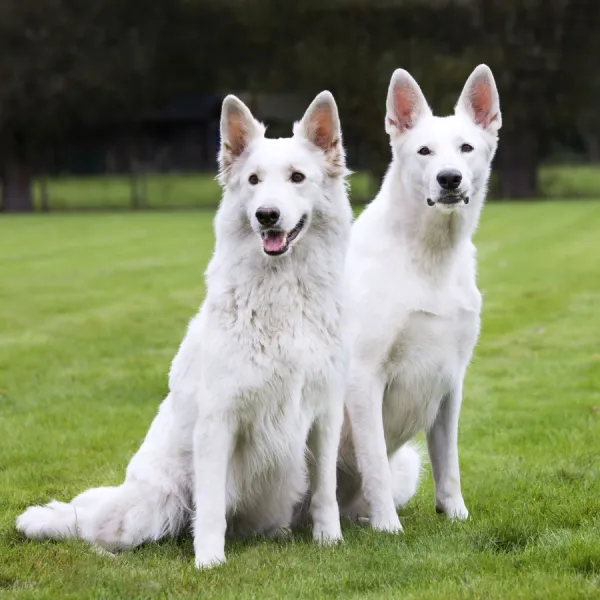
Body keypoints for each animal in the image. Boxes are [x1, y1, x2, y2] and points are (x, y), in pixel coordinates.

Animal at [16, 89, 354, 568]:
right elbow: (210, 507)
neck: (282, 296)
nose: (267, 215)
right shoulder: (218, 423)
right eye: (253, 180)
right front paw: (209, 562)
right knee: (96, 532)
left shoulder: (325, 416)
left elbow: (326, 491)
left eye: (297, 177)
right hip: (149, 507)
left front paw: (330, 541)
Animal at [338, 63, 502, 528]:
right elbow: (374, 462)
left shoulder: (450, 382)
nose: (449, 179)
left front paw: (456, 514)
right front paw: (388, 527)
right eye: (424, 151)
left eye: (466, 148)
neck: (429, 257)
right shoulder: (362, 377)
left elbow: (449, 465)